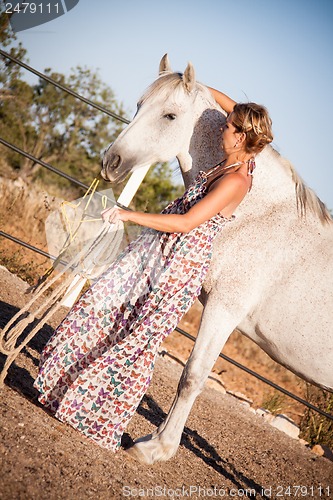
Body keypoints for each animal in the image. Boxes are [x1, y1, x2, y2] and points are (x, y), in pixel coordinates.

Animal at [101, 55, 332, 464]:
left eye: (170, 116)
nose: (111, 162)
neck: (260, 214)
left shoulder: (225, 309)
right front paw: (156, 439)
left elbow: (192, 376)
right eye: (139, 106)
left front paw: (158, 448)